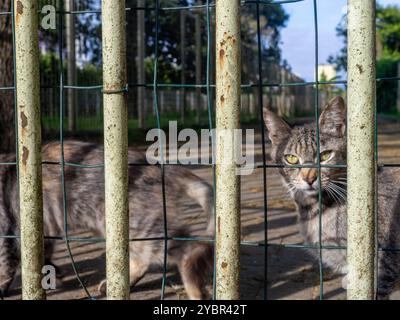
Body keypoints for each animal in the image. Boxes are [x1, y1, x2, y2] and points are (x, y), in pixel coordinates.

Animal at [0, 141, 214, 300]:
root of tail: (158, 167)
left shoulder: (8, 232)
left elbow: (5, 266)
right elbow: (41, 253)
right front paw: (52, 271)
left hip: (135, 223)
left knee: (188, 249)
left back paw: (195, 287)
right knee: (144, 259)